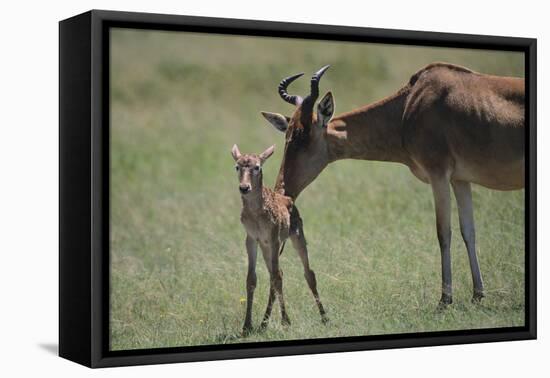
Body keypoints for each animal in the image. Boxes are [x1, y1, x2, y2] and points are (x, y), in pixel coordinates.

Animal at [232, 144, 328, 334]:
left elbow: (276, 277)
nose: (244, 188)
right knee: (276, 274)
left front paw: (285, 321)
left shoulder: (274, 238)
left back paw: (324, 317)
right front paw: (247, 326)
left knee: (307, 273)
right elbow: (251, 278)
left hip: (296, 237)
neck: (257, 214)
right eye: (237, 166)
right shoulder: (252, 239)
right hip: (265, 247)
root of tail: (288, 199)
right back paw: (263, 323)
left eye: (257, 167)